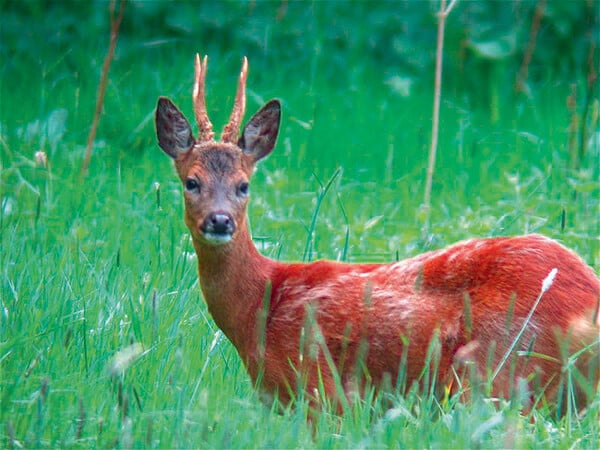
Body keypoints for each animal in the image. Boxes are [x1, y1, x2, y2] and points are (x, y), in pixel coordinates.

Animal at [156, 54, 600, 414]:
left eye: (243, 185)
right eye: (191, 182)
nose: (219, 221)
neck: (260, 306)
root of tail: (588, 300)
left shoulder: (315, 386)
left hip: (498, 370)